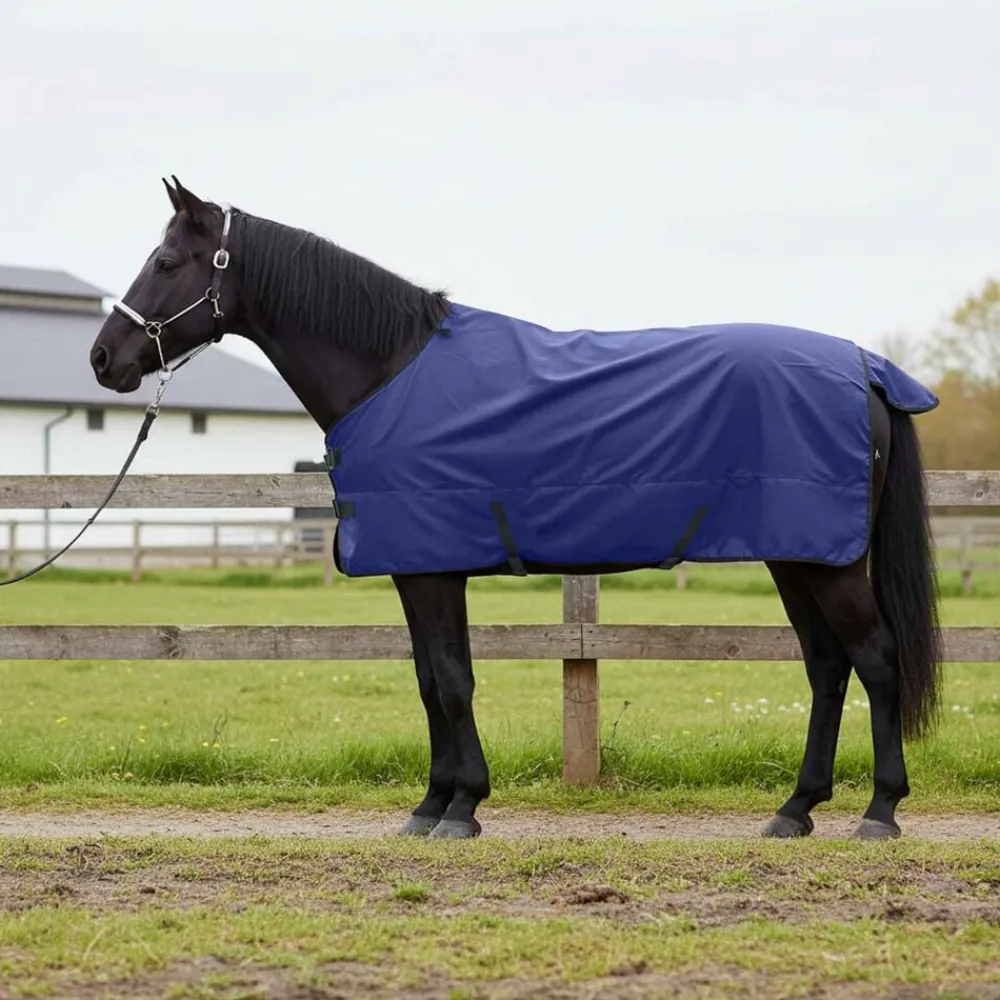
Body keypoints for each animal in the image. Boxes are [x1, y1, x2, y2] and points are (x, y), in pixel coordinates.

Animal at [89, 177, 943, 841]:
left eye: (165, 261)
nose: (104, 358)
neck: (388, 370)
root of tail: (866, 368)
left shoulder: (432, 570)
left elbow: (451, 681)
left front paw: (461, 807)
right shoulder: (421, 570)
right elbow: (431, 679)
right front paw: (433, 804)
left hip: (829, 564)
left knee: (876, 660)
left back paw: (879, 811)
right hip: (797, 556)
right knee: (827, 666)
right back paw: (795, 810)